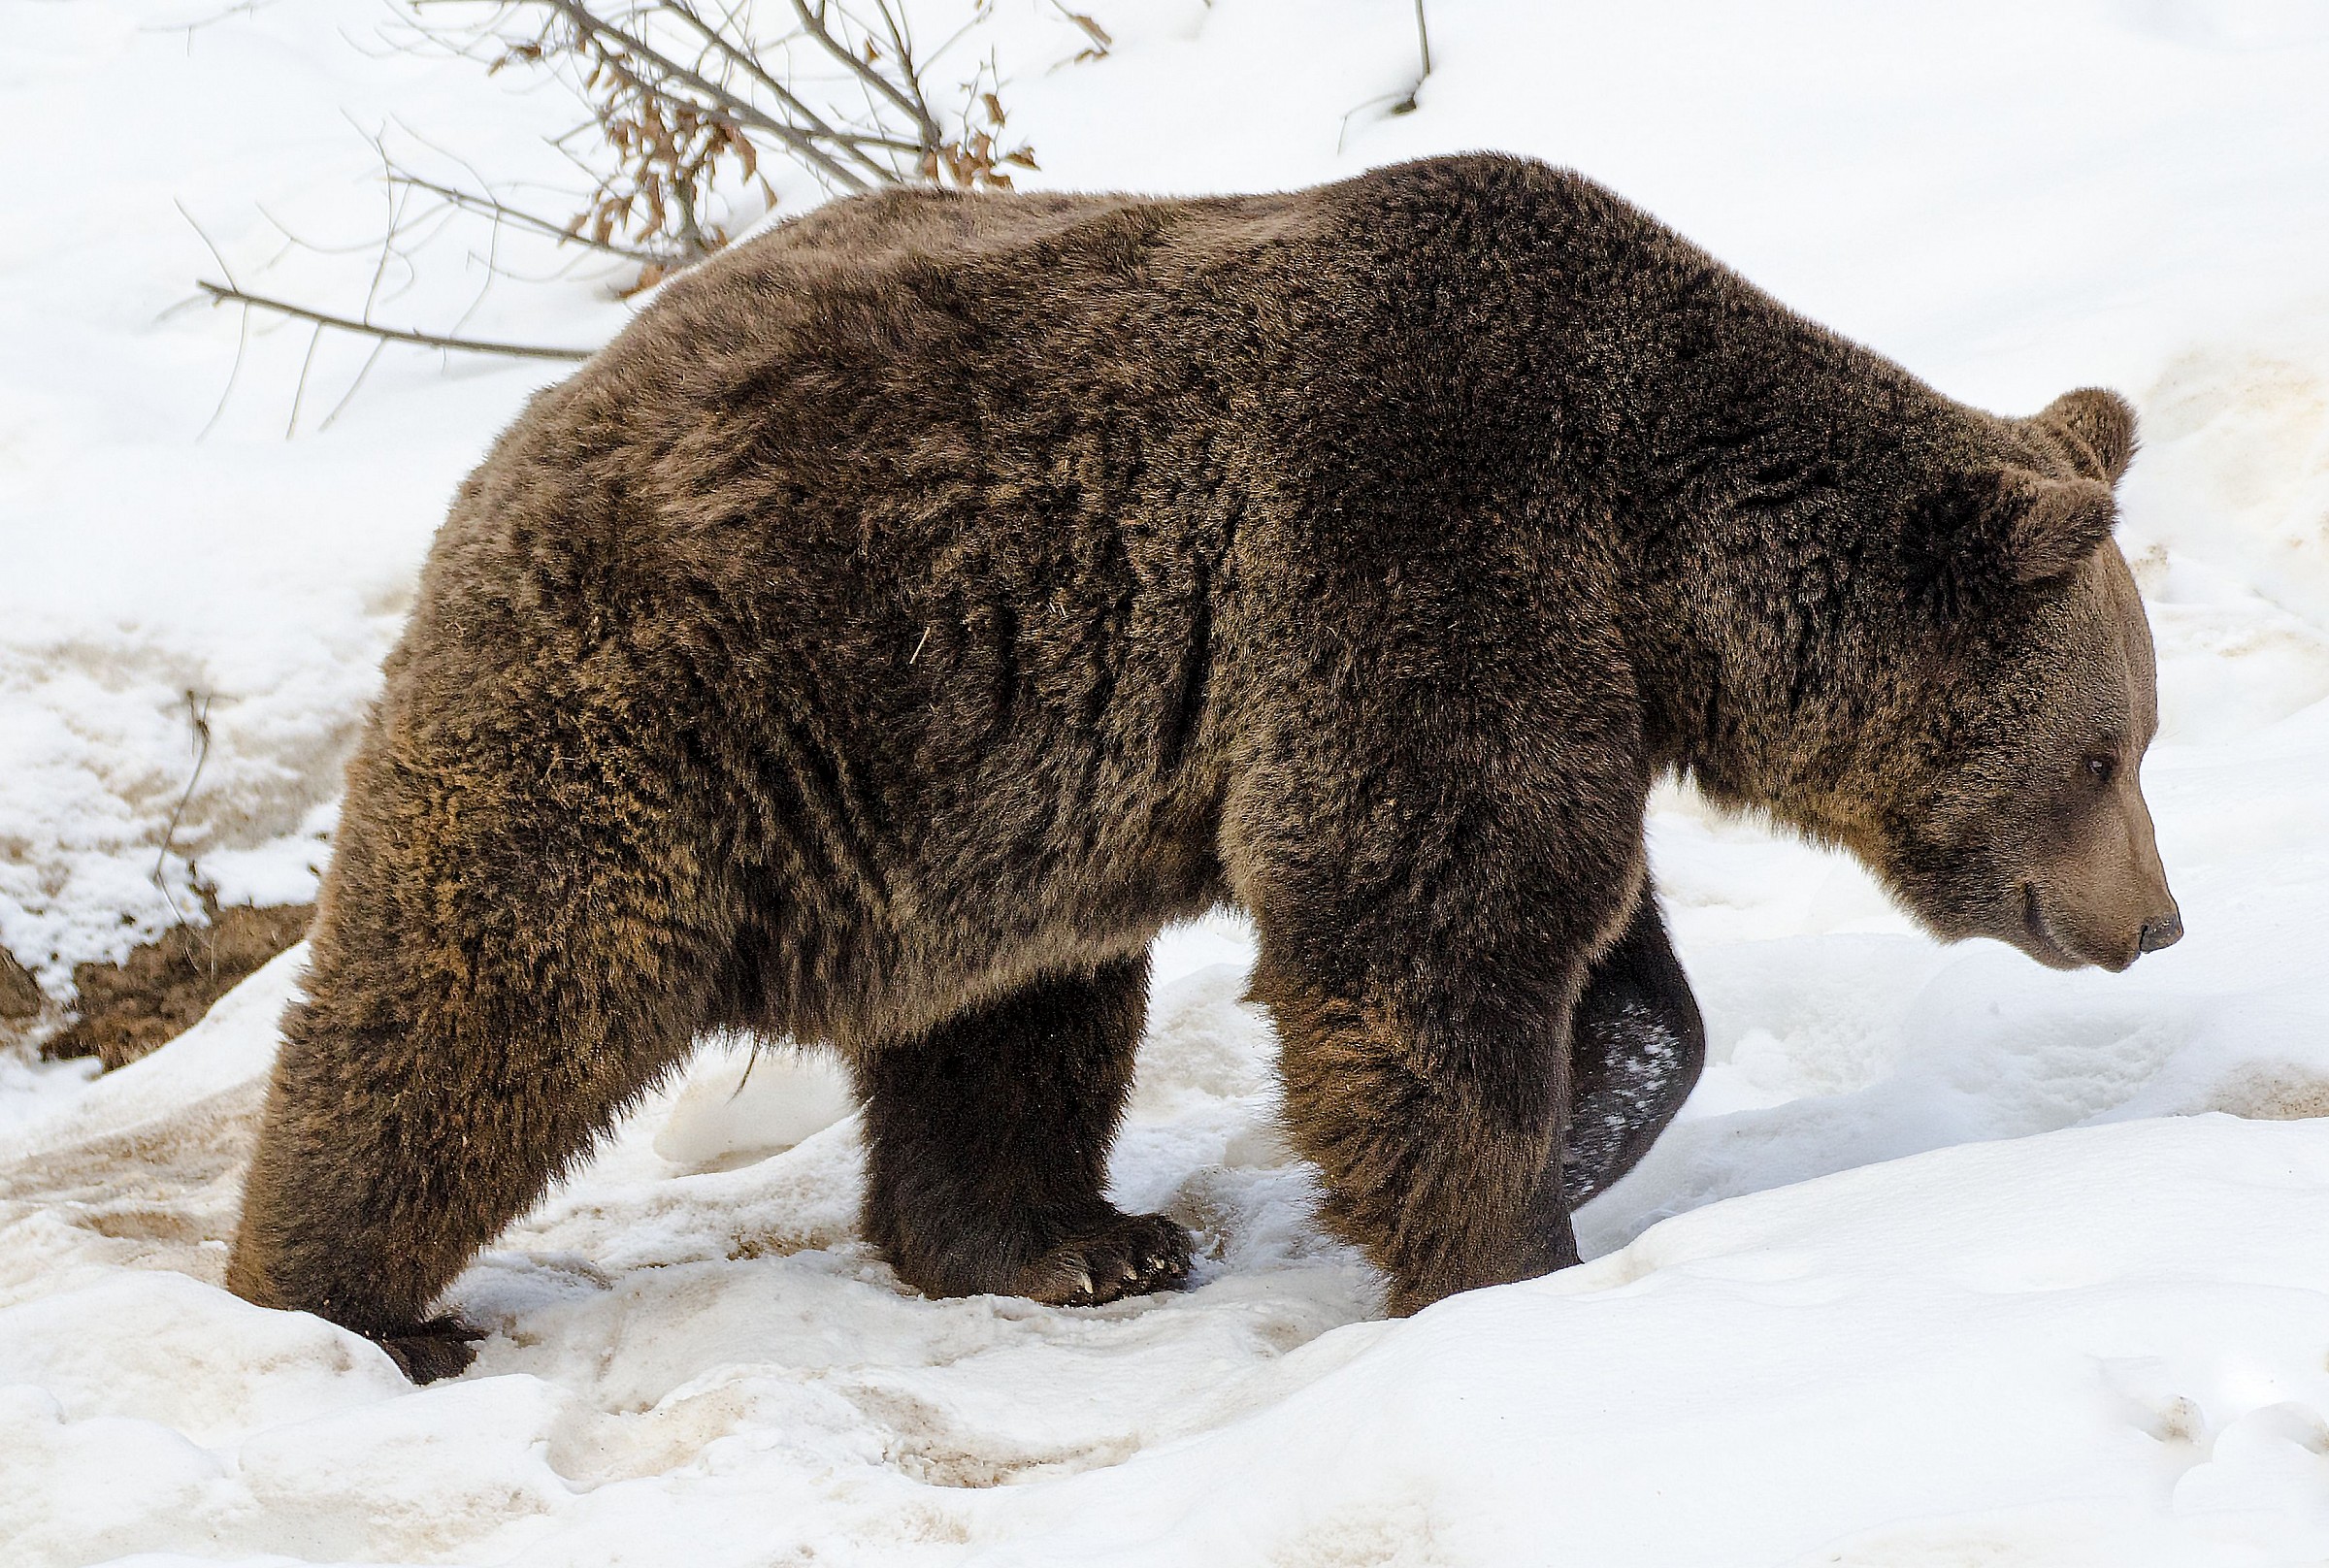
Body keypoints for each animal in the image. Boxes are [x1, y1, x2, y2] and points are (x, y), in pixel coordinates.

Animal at [227, 154, 2181, 1382]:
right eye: (2108, 747)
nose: (2157, 920)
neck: (1657, 535)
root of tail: (539, 418)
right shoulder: (1421, 533)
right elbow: (1425, 924)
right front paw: (1502, 1256)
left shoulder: (1567, 661)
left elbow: (1584, 939)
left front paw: (1596, 1120)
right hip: (683, 698)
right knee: (489, 992)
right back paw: (348, 1310)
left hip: (970, 777)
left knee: (1013, 1019)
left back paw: (1070, 1240)